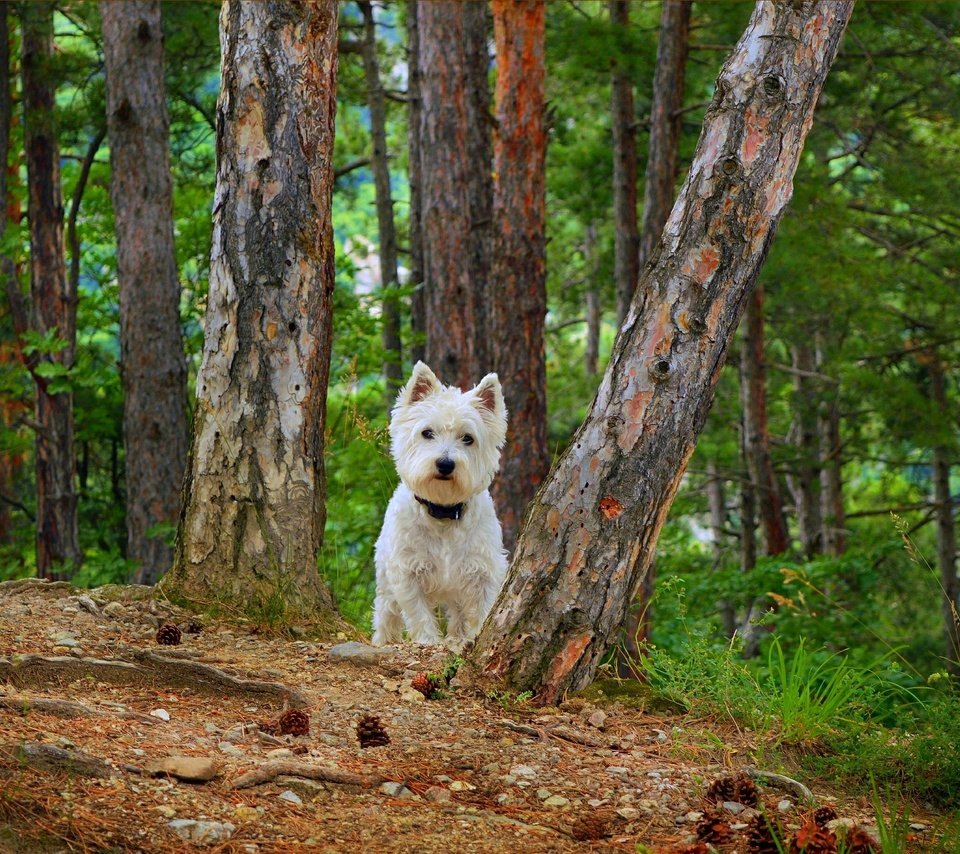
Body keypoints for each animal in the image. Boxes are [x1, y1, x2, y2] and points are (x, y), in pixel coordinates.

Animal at [372, 362, 510, 648]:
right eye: (427, 433)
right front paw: (427, 640)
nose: (445, 464)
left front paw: (474, 636)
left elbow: (483, 608)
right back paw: (383, 640)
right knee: (385, 613)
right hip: (385, 578)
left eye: (468, 438)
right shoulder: (407, 571)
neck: (444, 511)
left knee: (457, 614)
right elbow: (419, 612)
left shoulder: (482, 569)